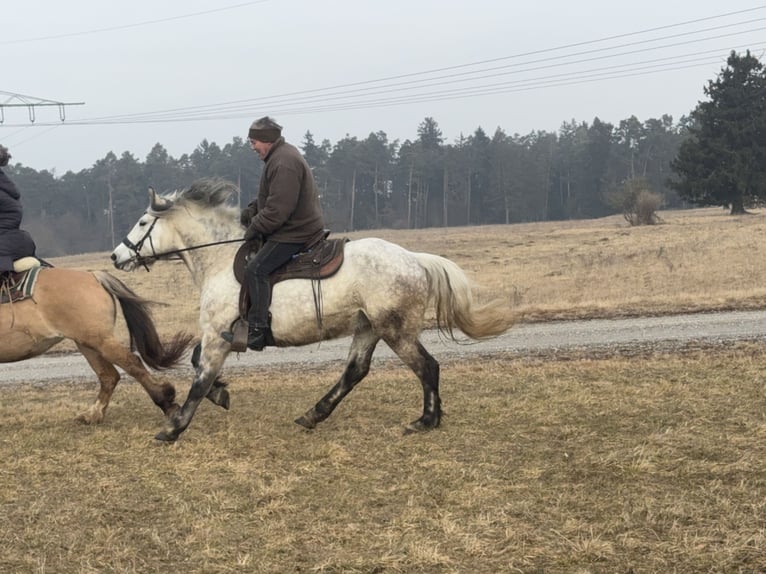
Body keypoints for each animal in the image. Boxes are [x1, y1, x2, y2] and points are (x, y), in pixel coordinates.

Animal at [0, 266, 193, 424]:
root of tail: (93, 276)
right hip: (88, 344)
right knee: (109, 376)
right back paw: (93, 415)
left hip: (99, 341)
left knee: (132, 364)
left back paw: (165, 402)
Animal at [110, 178, 514, 442]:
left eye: (143, 222)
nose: (116, 256)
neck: (220, 259)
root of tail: (414, 258)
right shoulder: (217, 335)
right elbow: (198, 366)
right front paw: (221, 394)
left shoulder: (216, 336)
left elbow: (199, 379)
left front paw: (173, 427)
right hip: (368, 327)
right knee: (355, 371)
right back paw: (313, 414)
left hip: (395, 330)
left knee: (427, 367)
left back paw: (426, 420)